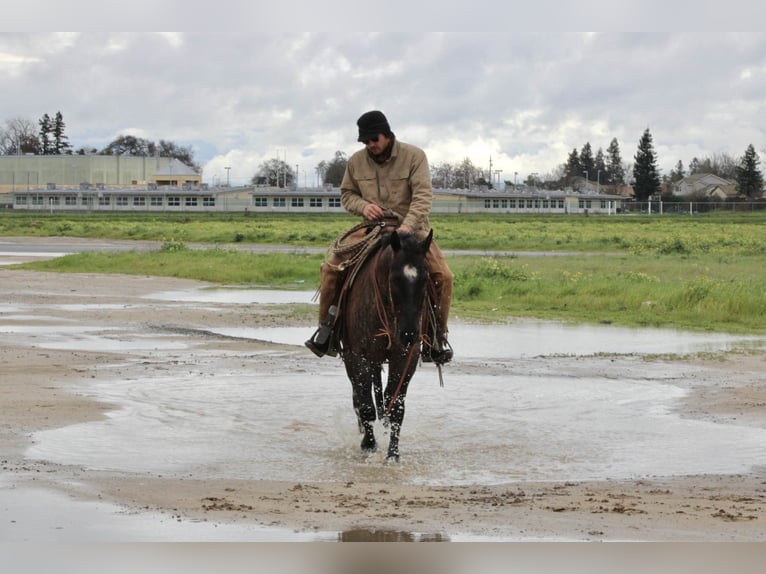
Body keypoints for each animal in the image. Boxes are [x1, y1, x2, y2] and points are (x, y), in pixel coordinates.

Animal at [337, 228, 433, 461]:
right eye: (395, 278)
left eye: (425, 278)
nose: (408, 333)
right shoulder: (358, 357)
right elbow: (366, 406)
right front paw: (369, 445)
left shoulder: (405, 357)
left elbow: (396, 406)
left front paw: (393, 454)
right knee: (358, 397)